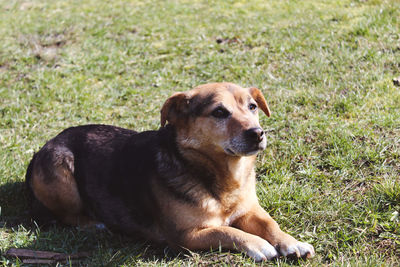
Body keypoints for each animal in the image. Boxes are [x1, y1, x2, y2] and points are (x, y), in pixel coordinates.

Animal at [25, 82, 316, 262]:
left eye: (252, 107)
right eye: (219, 112)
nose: (257, 134)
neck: (221, 178)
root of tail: (42, 148)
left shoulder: (249, 210)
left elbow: (270, 223)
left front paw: (291, 242)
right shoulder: (184, 236)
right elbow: (227, 232)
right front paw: (258, 244)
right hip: (61, 174)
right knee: (66, 215)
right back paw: (93, 224)